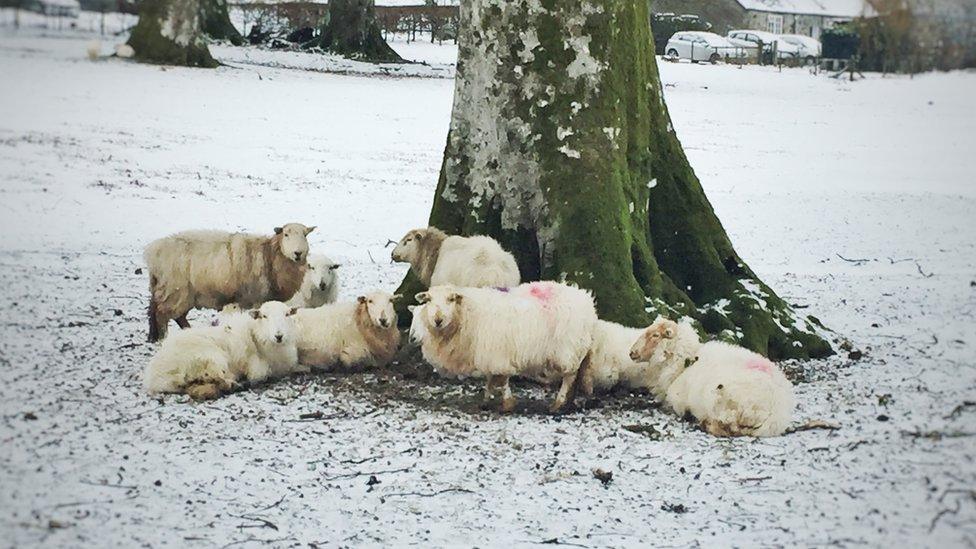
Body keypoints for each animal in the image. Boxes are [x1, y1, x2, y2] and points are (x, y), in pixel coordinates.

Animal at [143, 300, 304, 398]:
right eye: (264, 316)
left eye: (287, 314)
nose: (279, 336)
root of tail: (155, 375)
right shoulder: (257, 366)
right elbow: (261, 374)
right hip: (212, 358)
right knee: (216, 377)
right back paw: (234, 384)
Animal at [145, 223, 314, 342]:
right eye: (286, 234)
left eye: (305, 235)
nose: (298, 253)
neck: (270, 256)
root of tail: (153, 252)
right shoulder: (254, 298)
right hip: (175, 291)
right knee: (161, 314)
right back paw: (163, 338)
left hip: (179, 293)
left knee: (168, 313)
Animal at [416, 280, 600, 414]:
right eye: (428, 300)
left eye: (451, 299)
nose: (438, 320)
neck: (468, 314)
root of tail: (587, 301)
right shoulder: (489, 353)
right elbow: (490, 379)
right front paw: (485, 400)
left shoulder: (498, 353)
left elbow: (502, 380)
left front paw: (507, 404)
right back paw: (569, 402)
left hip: (568, 349)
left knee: (569, 376)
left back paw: (558, 403)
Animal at [628, 316, 796, 436]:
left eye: (655, 335)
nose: (631, 352)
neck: (685, 362)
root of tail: (776, 411)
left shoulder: (677, 400)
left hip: (721, 399)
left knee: (728, 427)